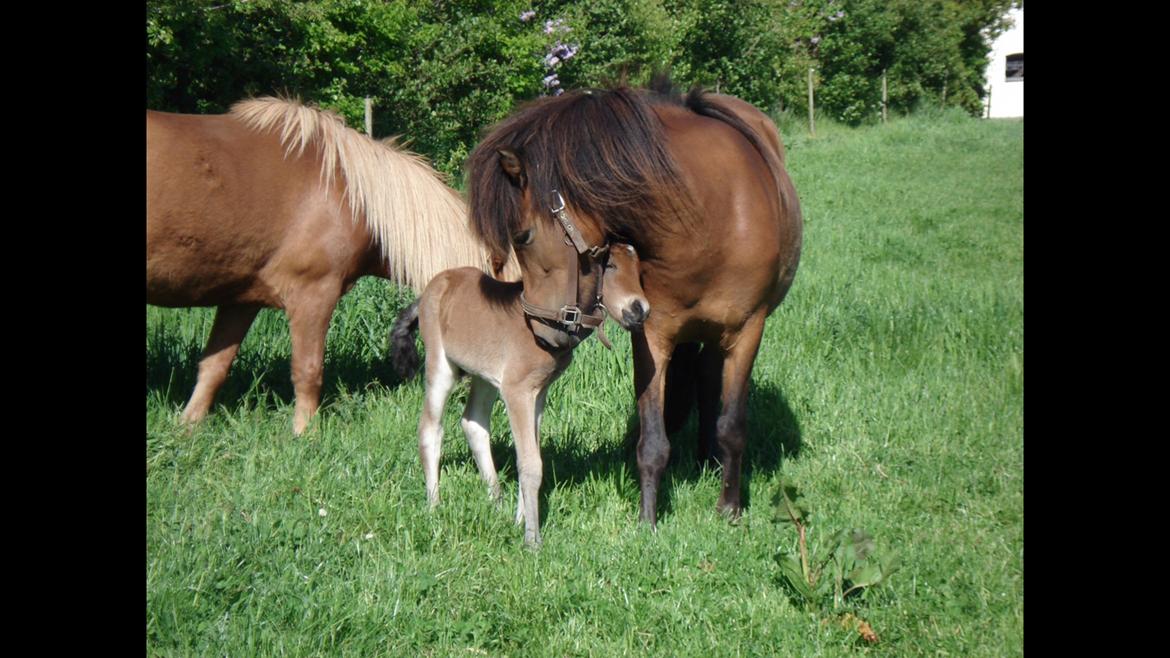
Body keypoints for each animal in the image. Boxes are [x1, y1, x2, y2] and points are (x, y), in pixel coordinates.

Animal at [147, 97, 517, 433]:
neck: (352, 195)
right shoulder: (313, 294)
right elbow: (308, 370)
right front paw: (305, 434)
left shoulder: (241, 299)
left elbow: (214, 365)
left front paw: (187, 428)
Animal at [390, 243, 650, 545]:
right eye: (611, 266)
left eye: (638, 269)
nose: (640, 310)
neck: (545, 322)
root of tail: (430, 289)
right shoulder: (517, 391)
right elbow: (530, 463)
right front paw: (532, 539)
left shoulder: (538, 392)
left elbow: (530, 456)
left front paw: (519, 520)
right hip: (441, 366)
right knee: (430, 428)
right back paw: (434, 505)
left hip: (485, 376)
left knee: (473, 422)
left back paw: (496, 502)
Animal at [465, 83, 804, 522]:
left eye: (522, 236)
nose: (540, 329)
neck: (709, 217)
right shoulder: (652, 334)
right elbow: (653, 438)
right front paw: (648, 518)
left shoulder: (747, 331)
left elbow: (732, 426)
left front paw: (729, 508)